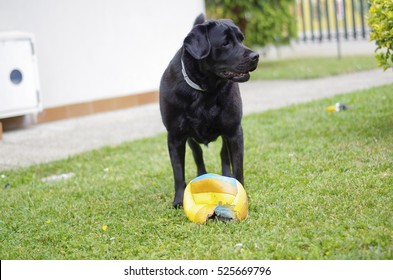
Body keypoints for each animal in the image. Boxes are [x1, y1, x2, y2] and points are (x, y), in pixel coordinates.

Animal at [158, 14, 258, 208]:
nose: (256, 56)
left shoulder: (234, 130)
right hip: (190, 139)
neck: (205, 91)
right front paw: (179, 200)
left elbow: (238, 166)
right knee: (198, 154)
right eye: (225, 43)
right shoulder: (175, 137)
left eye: (241, 39)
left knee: (223, 154)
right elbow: (178, 172)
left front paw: (242, 194)